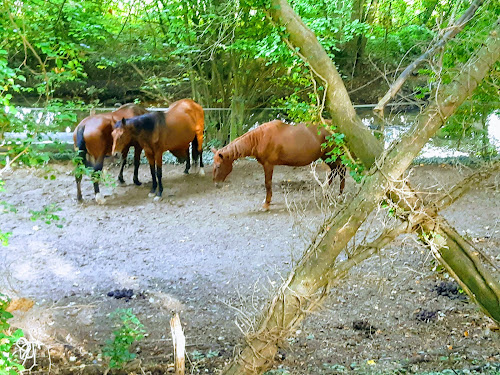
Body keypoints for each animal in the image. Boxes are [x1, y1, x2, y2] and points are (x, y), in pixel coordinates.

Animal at [210, 119, 344, 210]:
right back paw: (326, 192)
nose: (216, 184)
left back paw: (339, 195)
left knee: (341, 170)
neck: (259, 138)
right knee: (335, 171)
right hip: (327, 157)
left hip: (332, 155)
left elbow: (268, 184)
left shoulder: (268, 165)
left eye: (218, 166)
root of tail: (335, 126)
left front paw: (266, 204)